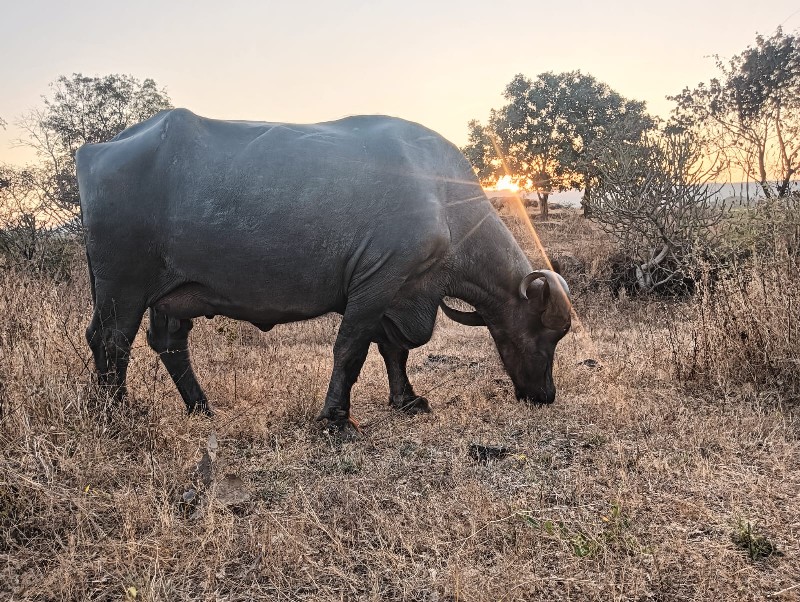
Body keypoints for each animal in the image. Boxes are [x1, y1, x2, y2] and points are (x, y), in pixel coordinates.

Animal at [76, 108, 568, 426]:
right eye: (545, 334)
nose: (545, 395)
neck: (443, 200)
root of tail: (98, 149)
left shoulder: (396, 294)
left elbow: (394, 350)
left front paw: (406, 399)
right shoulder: (378, 284)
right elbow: (350, 349)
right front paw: (334, 416)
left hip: (172, 297)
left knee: (169, 343)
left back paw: (200, 406)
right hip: (123, 287)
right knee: (111, 340)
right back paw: (115, 414)